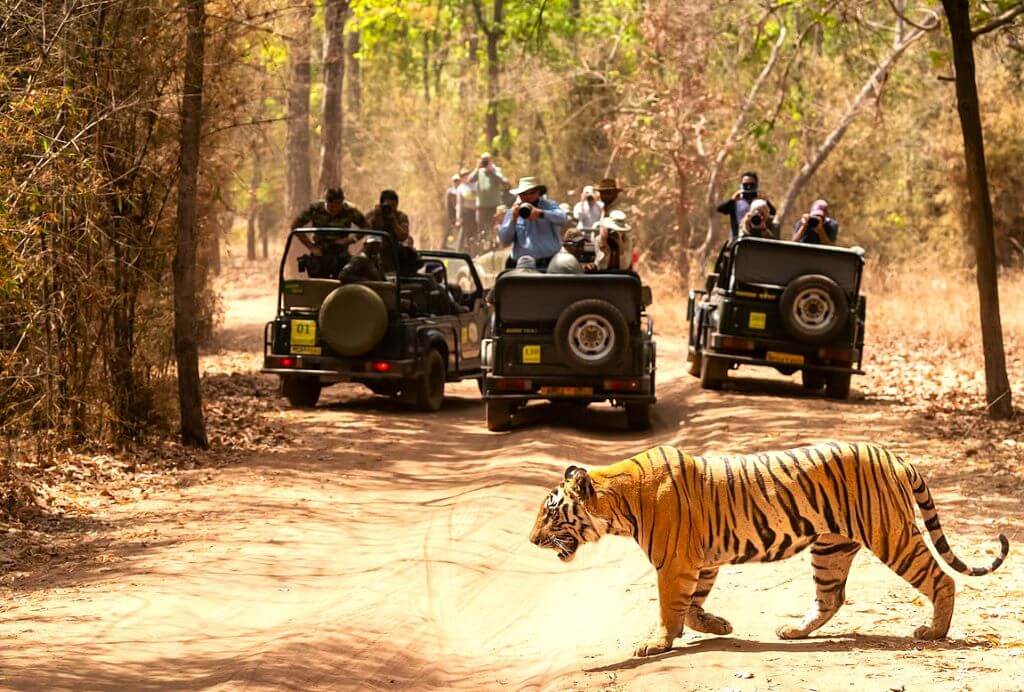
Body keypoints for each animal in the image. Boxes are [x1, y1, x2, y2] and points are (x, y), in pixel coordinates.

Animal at [532, 440, 1011, 655]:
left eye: (551, 514)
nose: (532, 539)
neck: (619, 502)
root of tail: (894, 455)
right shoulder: (700, 560)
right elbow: (692, 604)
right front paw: (718, 625)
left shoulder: (676, 562)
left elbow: (670, 606)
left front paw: (658, 642)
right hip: (831, 549)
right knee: (830, 597)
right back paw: (793, 632)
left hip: (892, 535)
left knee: (941, 578)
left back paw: (935, 632)